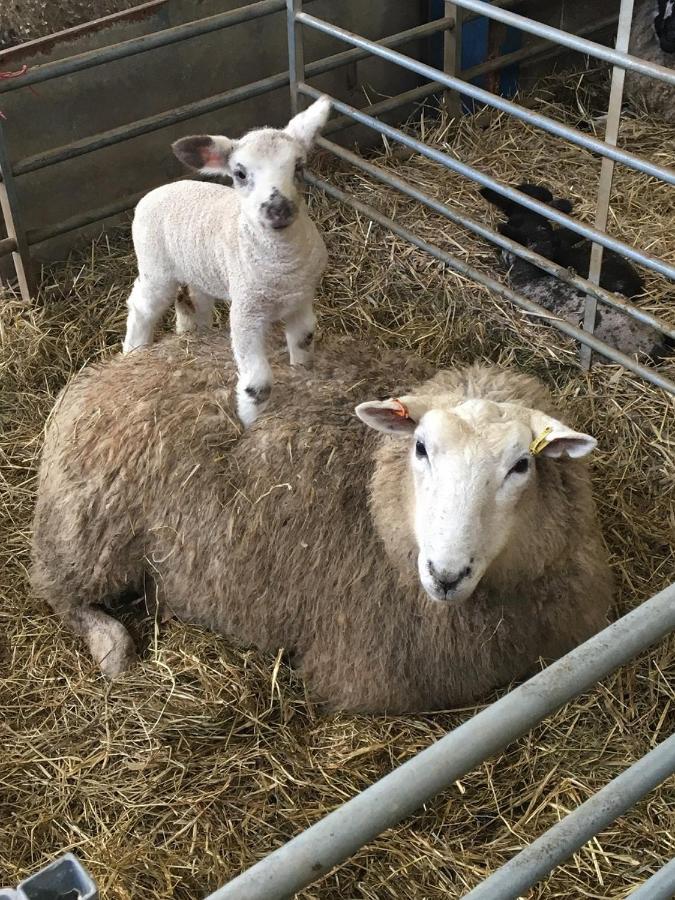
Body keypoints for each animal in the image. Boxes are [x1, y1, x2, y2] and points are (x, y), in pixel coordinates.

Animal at [30, 334, 612, 712]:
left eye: (521, 465)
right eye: (420, 447)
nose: (446, 575)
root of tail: (105, 370)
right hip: (89, 530)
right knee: (56, 591)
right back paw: (112, 647)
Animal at [124, 95, 332, 426]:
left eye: (299, 166)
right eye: (240, 174)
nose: (278, 209)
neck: (281, 267)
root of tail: (156, 191)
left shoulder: (300, 302)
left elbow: (303, 345)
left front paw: (302, 378)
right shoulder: (246, 313)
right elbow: (257, 384)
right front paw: (250, 425)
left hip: (200, 267)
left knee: (196, 299)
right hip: (156, 266)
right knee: (142, 307)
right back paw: (134, 351)